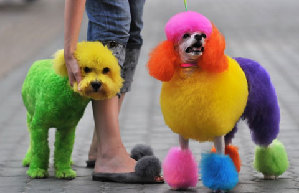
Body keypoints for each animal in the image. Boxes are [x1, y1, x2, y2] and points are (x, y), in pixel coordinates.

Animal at [22, 42, 123, 179]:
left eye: (106, 70)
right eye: (86, 69)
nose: (96, 84)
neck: (65, 94)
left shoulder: (68, 128)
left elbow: (64, 149)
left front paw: (64, 171)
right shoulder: (39, 126)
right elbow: (40, 149)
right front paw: (37, 170)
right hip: (30, 117)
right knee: (31, 141)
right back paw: (28, 160)